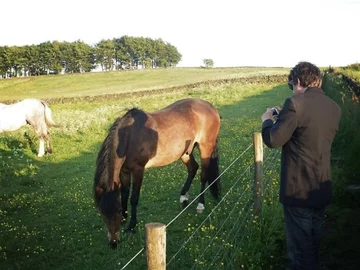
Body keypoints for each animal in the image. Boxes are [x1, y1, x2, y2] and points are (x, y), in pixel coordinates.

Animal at [93, 98, 219, 248]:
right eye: (102, 213)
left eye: (117, 210)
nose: (113, 242)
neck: (129, 137)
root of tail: (211, 107)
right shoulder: (124, 172)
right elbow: (124, 195)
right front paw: (124, 219)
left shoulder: (138, 170)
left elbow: (133, 198)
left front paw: (131, 227)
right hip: (185, 152)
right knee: (193, 168)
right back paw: (183, 197)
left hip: (205, 147)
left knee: (203, 175)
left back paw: (200, 204)